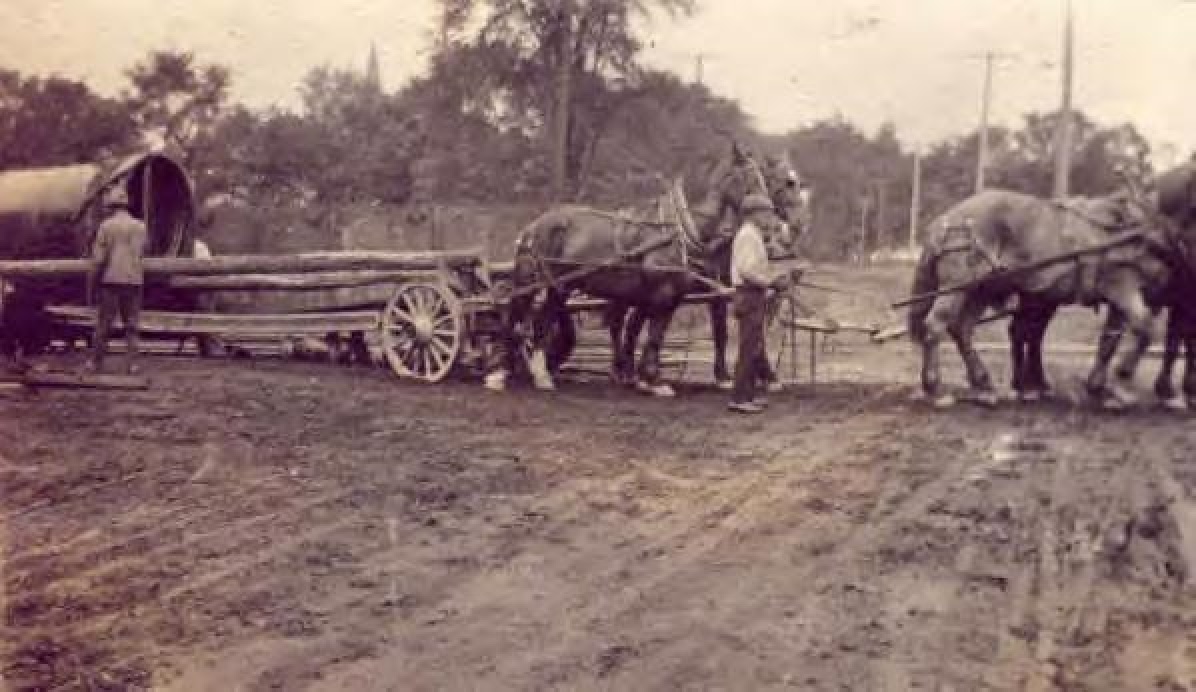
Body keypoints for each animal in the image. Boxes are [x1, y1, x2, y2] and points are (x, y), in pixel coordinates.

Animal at [602, 147, 808, 389]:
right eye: (789, 182)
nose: (799, 223)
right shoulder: (720, 293)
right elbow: (724, 332)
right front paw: (731, 376)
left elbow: (741, 333)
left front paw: (753, 374)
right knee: (619, 324)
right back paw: (621, 371)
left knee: (632, 324)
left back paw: (629, 371)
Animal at [904, 186, 1167, 408]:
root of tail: (946, 219)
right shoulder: (1122, 287)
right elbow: (1144, 329)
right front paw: (1120, 382)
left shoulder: (1120, 296)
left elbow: (1110, 340)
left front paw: (1100, 388)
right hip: (957, 287)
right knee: (935, 325)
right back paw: (934, 389)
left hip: (980, 289)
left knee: (963, 328)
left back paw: (984, 386)